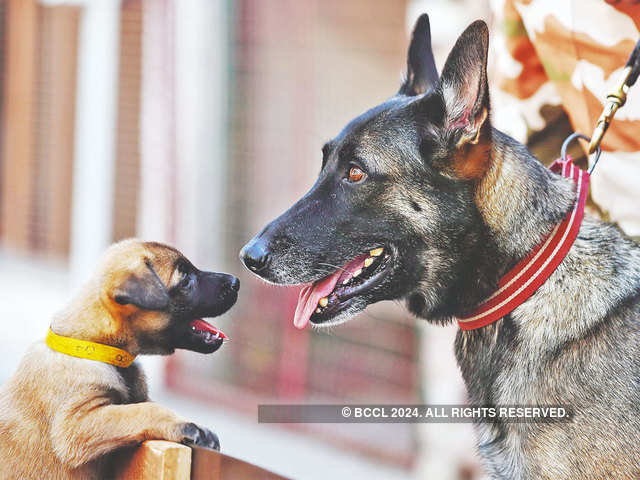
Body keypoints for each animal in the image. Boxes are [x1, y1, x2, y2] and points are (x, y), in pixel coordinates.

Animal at [0, 238, 240, 478]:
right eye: (186, 280)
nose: (236, 281)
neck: (100, 349)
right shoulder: (77, 422)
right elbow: (143, 410)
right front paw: (188, 426)